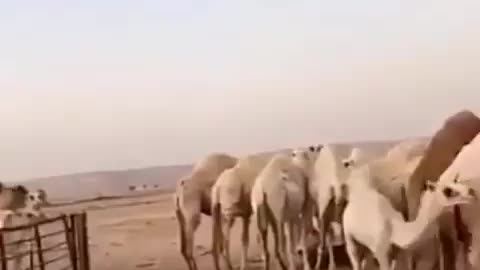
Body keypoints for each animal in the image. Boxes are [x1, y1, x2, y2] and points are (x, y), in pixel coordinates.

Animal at [344, 162, 474, 270]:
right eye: (447, 191)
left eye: (456, 181)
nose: (471, 191)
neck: (395, 229)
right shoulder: (381, 252)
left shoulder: (399, 252)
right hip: (349, 235)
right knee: (354, 256)